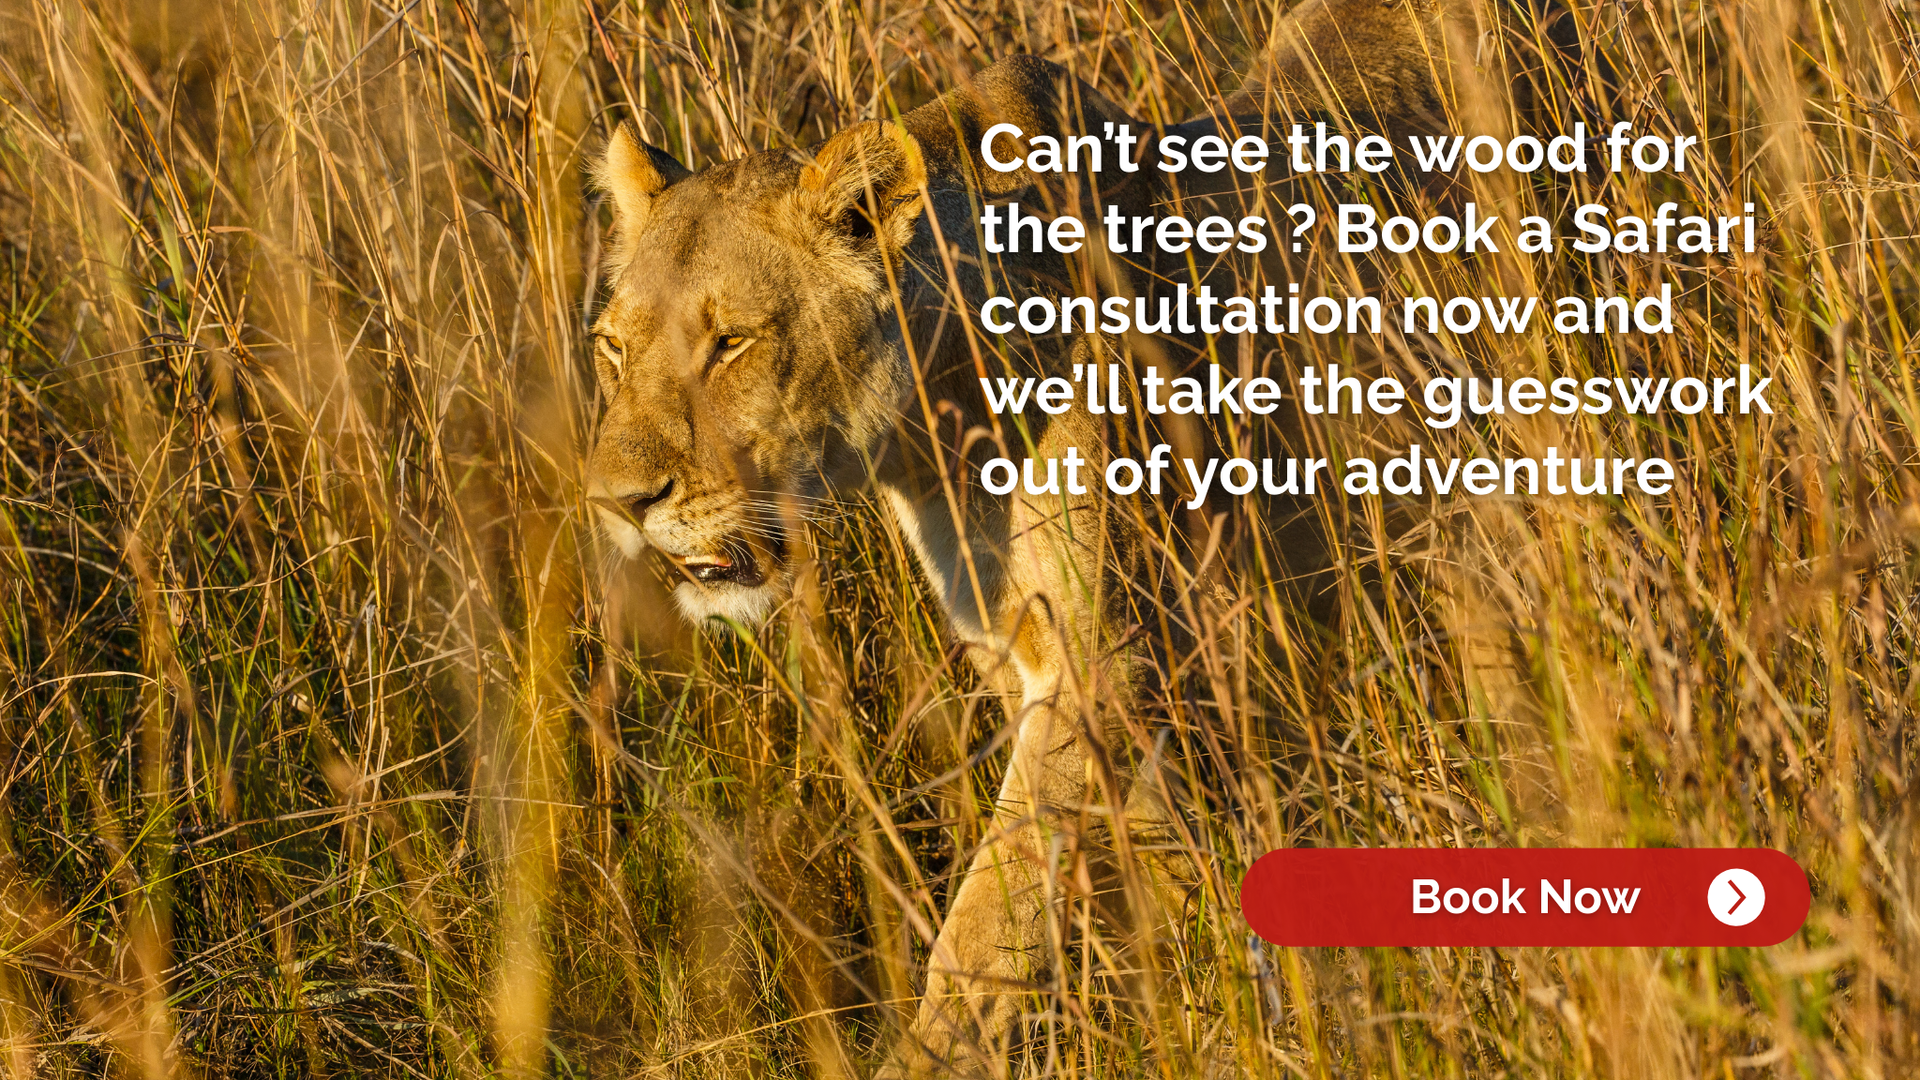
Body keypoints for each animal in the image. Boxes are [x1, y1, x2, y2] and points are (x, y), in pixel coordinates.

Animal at [586, 0, 1570, 1071]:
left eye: (733, 343)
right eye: (612, 348)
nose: (618, 502)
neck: (940, 432)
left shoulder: (1101, 663)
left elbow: (988, 929)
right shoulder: (1040, 659)